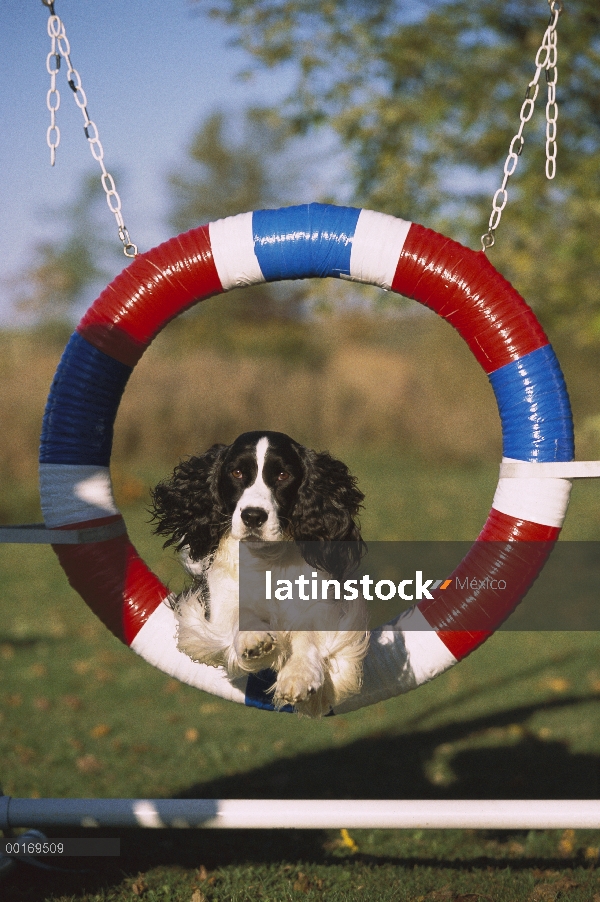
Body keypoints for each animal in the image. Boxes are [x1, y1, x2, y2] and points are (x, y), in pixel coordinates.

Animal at [152, 432, 368, 720]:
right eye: (237, 472)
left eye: (283, 475)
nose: (253, 516)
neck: (267, 559)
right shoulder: (217, 605)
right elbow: (239, 614)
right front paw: (255, 640)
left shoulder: (319, 605)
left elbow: (307, 632)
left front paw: (299, 677)